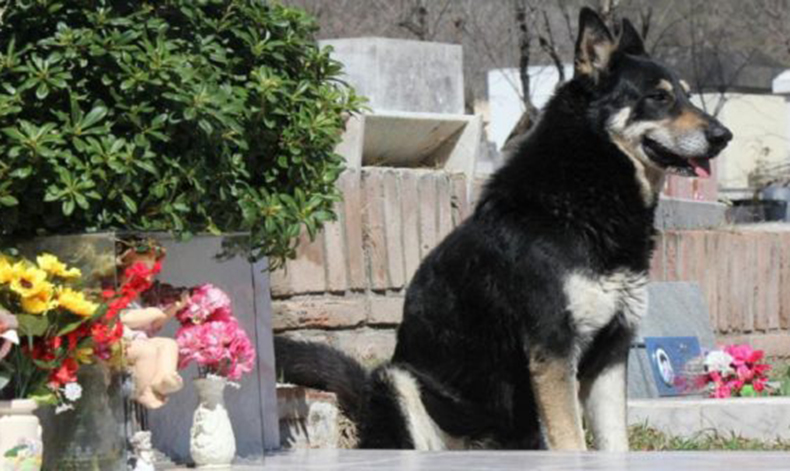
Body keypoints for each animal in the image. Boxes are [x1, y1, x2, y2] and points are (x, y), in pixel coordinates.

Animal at [276, 5, 732, 452]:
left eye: (687, 95)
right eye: (658, 97)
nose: (723, 135)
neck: (586, 191)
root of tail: (365, 400)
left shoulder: (611, 354)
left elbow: (615, 445)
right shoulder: (553, 350)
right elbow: (573, 443)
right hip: (400, 381)